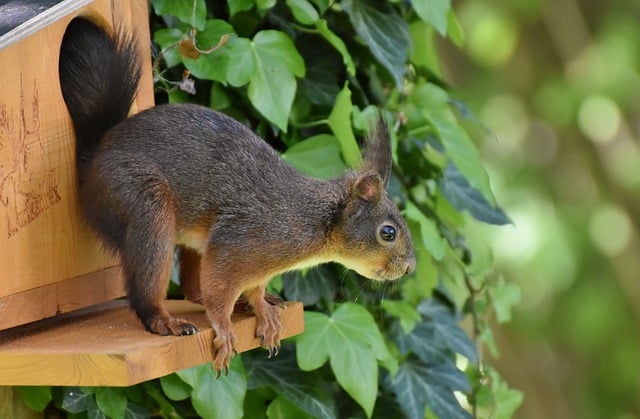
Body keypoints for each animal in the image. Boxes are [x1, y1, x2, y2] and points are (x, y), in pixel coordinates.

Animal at [58, 17, 416, 374]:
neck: (314, 219)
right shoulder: (241, 245)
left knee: (193, 288)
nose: (410, 269)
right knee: (157, 284)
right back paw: (163, 320)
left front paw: (262, 308)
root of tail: (94, 163)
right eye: (387, 232)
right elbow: (219, 293)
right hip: (143, 201)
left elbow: (252, 288)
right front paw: (225, 329)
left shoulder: (256, 264)